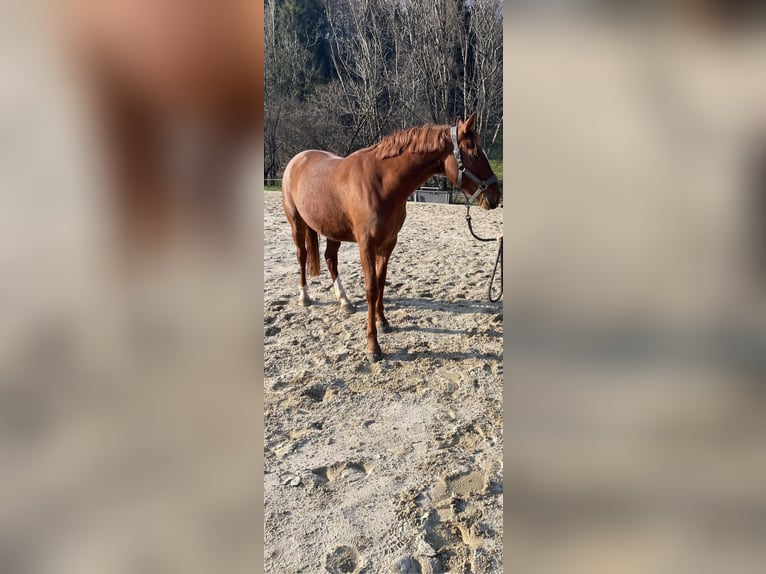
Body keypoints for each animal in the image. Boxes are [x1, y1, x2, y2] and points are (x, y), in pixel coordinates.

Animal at [281, 113, 501, 362]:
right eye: (474, 154)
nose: (496, 195)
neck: (380, 182)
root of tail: (297, 159)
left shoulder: (387, 245)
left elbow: (381, 283)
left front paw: (382, 322)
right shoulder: (366, 246)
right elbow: (371, 289)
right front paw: (372, 346)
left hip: (332, 230)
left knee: (330, 259)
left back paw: (344, 301)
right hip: (296, 223)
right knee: (301, 256)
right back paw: (304, 297)